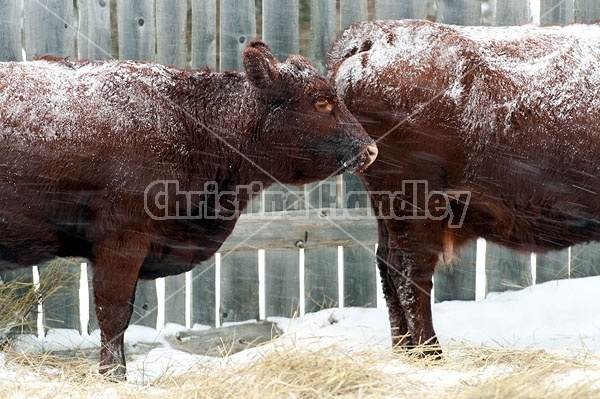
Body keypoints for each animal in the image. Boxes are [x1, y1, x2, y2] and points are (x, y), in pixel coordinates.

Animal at [0, 41, 378, 382]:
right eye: (321, 101)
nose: (370, 149)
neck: (189, 125)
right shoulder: (121, 243)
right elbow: (114, 314)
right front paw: (114, 375)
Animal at [328, 18, 600, 356]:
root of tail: (371, 38)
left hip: (387, 209)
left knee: (388, 269)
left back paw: (405, 351)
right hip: (416, 206)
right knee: (410, 274)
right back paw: (431, 353)